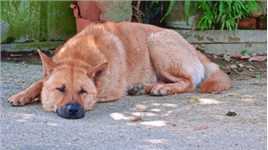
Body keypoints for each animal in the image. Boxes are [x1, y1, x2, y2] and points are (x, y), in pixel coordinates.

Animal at [7, 22, 230, 118]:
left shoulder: (109, 91)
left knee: (189, 83)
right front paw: (23, 95)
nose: (73, 110)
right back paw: (145, 87)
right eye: (60, 89)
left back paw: (162, 88)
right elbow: (39, 82)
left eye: (83, 92)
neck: (79, 58)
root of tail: (193, 47)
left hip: (156, 43)